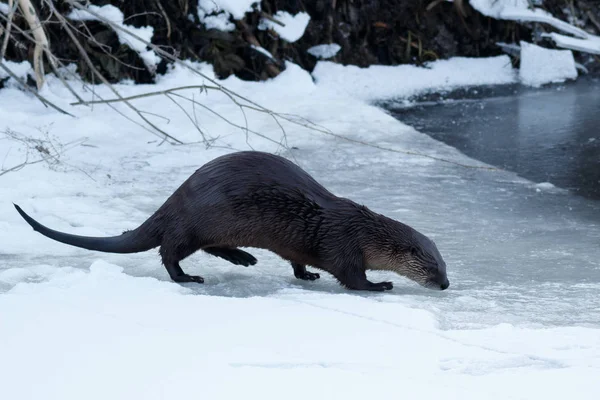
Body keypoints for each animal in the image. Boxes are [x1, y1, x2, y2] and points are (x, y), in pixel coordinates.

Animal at [12, 150, 450, 290]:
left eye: (445, 264)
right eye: (429, 266)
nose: (445, 285)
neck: (363, 232)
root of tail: (176, 200)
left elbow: (299, 260)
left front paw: (306, 275)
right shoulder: (343, 246)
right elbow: (352, 278)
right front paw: (381, 284)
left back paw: (244, 258)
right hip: (195, 222)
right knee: (170, 252)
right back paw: (189, 277)